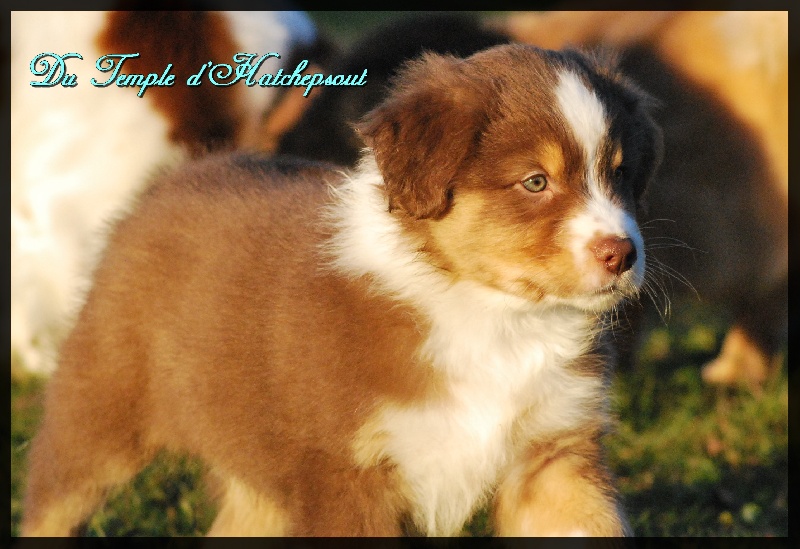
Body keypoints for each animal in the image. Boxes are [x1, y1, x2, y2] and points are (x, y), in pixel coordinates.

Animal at [22, 44, 662, 537]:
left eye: (621, 173)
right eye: (534, 182)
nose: (622, 253)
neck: (491, 320)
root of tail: (176, 179)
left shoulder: (555, 457)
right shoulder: (344, 475)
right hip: (99, 412)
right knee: (51, 501)